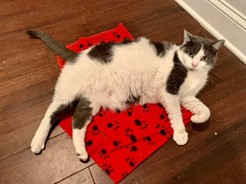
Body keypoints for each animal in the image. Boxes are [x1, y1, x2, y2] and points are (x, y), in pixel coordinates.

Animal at [26, 28, 225, 161]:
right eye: (190, 53)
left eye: (204, 58)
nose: (194, 63)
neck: (193, 74)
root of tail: (77, 55)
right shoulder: (170, 91)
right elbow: (176, 114)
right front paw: (181, 134)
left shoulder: (186, 97)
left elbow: (206, 110)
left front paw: (196, 118)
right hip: (68, 93)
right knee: (50, 112)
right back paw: (37, 142)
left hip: (90, 102)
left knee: (77, 122)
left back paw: (81, 152)